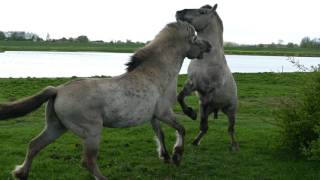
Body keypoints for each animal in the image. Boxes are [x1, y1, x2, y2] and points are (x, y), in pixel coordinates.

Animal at [0, 21, 212, 179]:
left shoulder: (153, 116)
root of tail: (58, 90)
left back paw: (20, 173)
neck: (157, 73)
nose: (209, 46)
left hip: (56, 127)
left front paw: (166, 156)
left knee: (34, 145)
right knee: (87, 161)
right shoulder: (164, 112)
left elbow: (160, 135)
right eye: (195, 38)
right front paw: (177, 156)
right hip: (91, 131)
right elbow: (181, 129)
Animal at [176, 4, 239, 150]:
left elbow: (203, 122)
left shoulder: (207, 91)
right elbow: (180, 97)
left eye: (202, 12)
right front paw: (190, 113)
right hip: (211, 108)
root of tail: (217, 109)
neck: (206, 59)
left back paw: (234, 146)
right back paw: (195, 141)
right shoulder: (192, 83)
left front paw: (191, 113)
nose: (179, 12)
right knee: (206, 127)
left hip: (230, 111)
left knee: (230, 129)